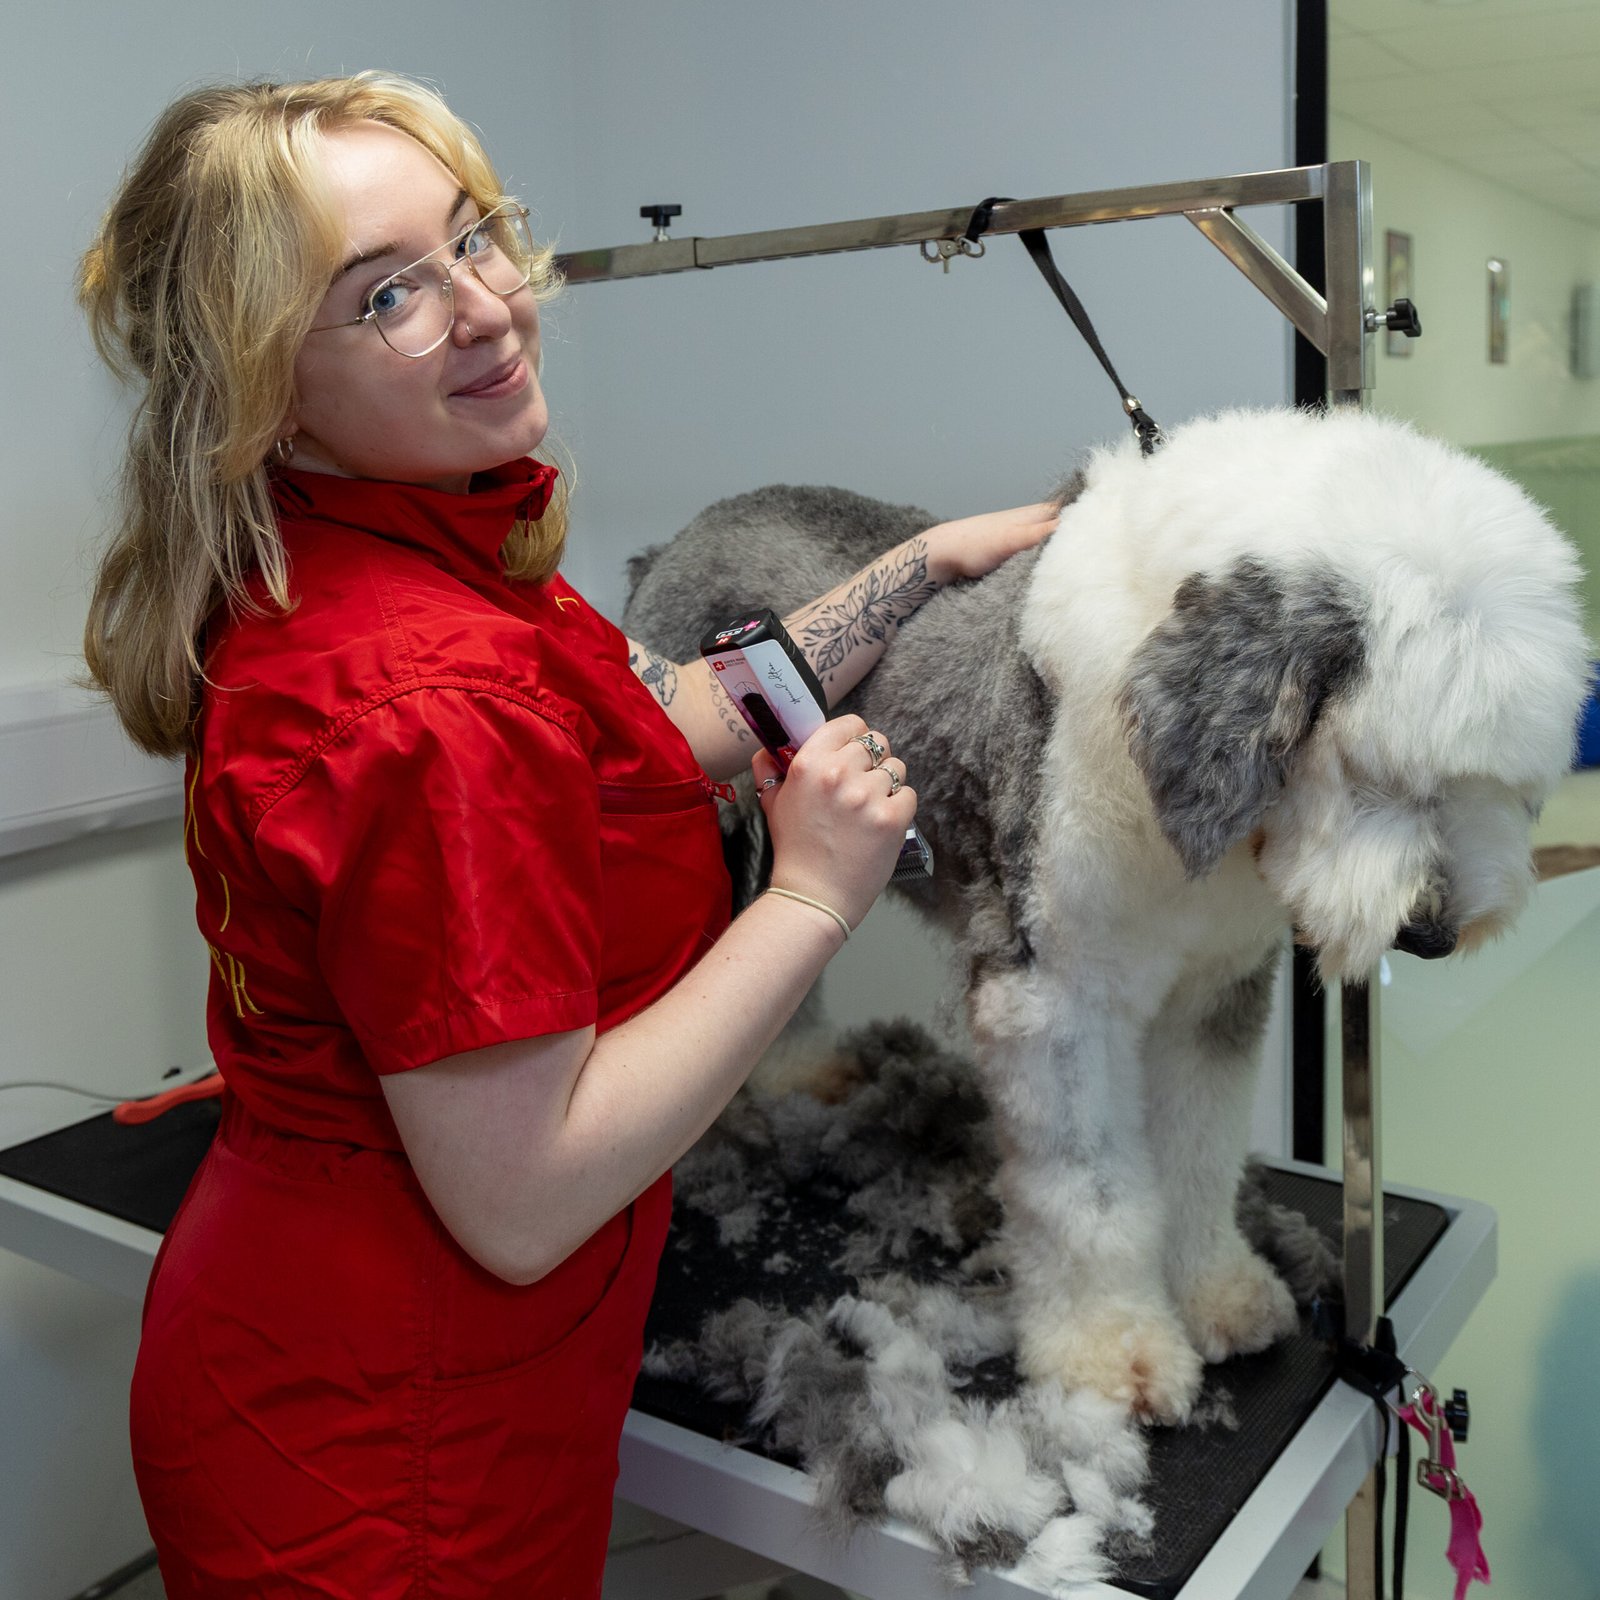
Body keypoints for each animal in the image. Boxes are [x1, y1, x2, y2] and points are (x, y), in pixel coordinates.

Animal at [623, 405, 1589, 1422]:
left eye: (1507, 784)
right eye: (1373, 771)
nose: (1432, 935)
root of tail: (673, 542)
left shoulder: (1216, 988)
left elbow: (1199, 1150)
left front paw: (1218, 1295)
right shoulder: (1054, 998)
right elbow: (1086, 1190)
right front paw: (1114, 1355)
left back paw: (803, 1072)